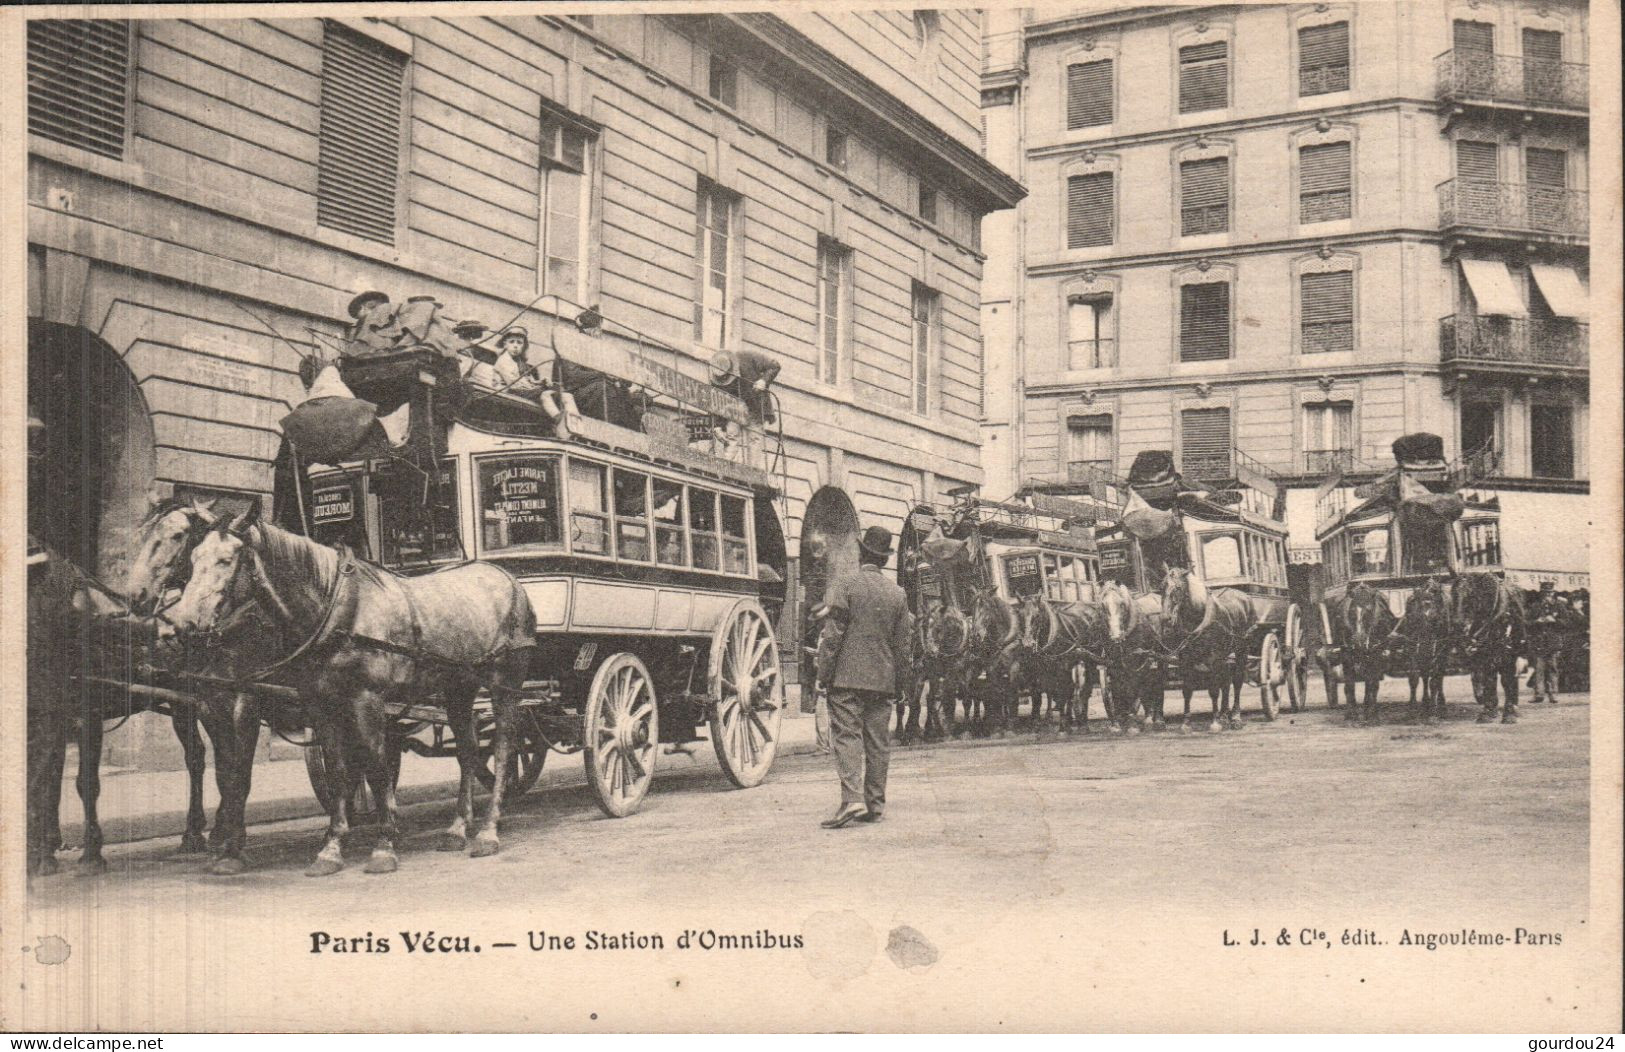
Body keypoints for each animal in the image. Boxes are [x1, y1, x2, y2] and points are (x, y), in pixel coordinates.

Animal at [162, 507, 536, 878]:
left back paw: (488, 830)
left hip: (506, 681)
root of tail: (505, 576)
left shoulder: (366, 700)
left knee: (504, 747)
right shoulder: (322, 704)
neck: (338, 609)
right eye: (193, 558)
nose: (181, 625)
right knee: (468, 750)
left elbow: (376, 766)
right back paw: (457, 828)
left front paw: (384, 844)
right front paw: (331, 848)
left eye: (226, 560)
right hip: (459, 686)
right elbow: (339, 770)